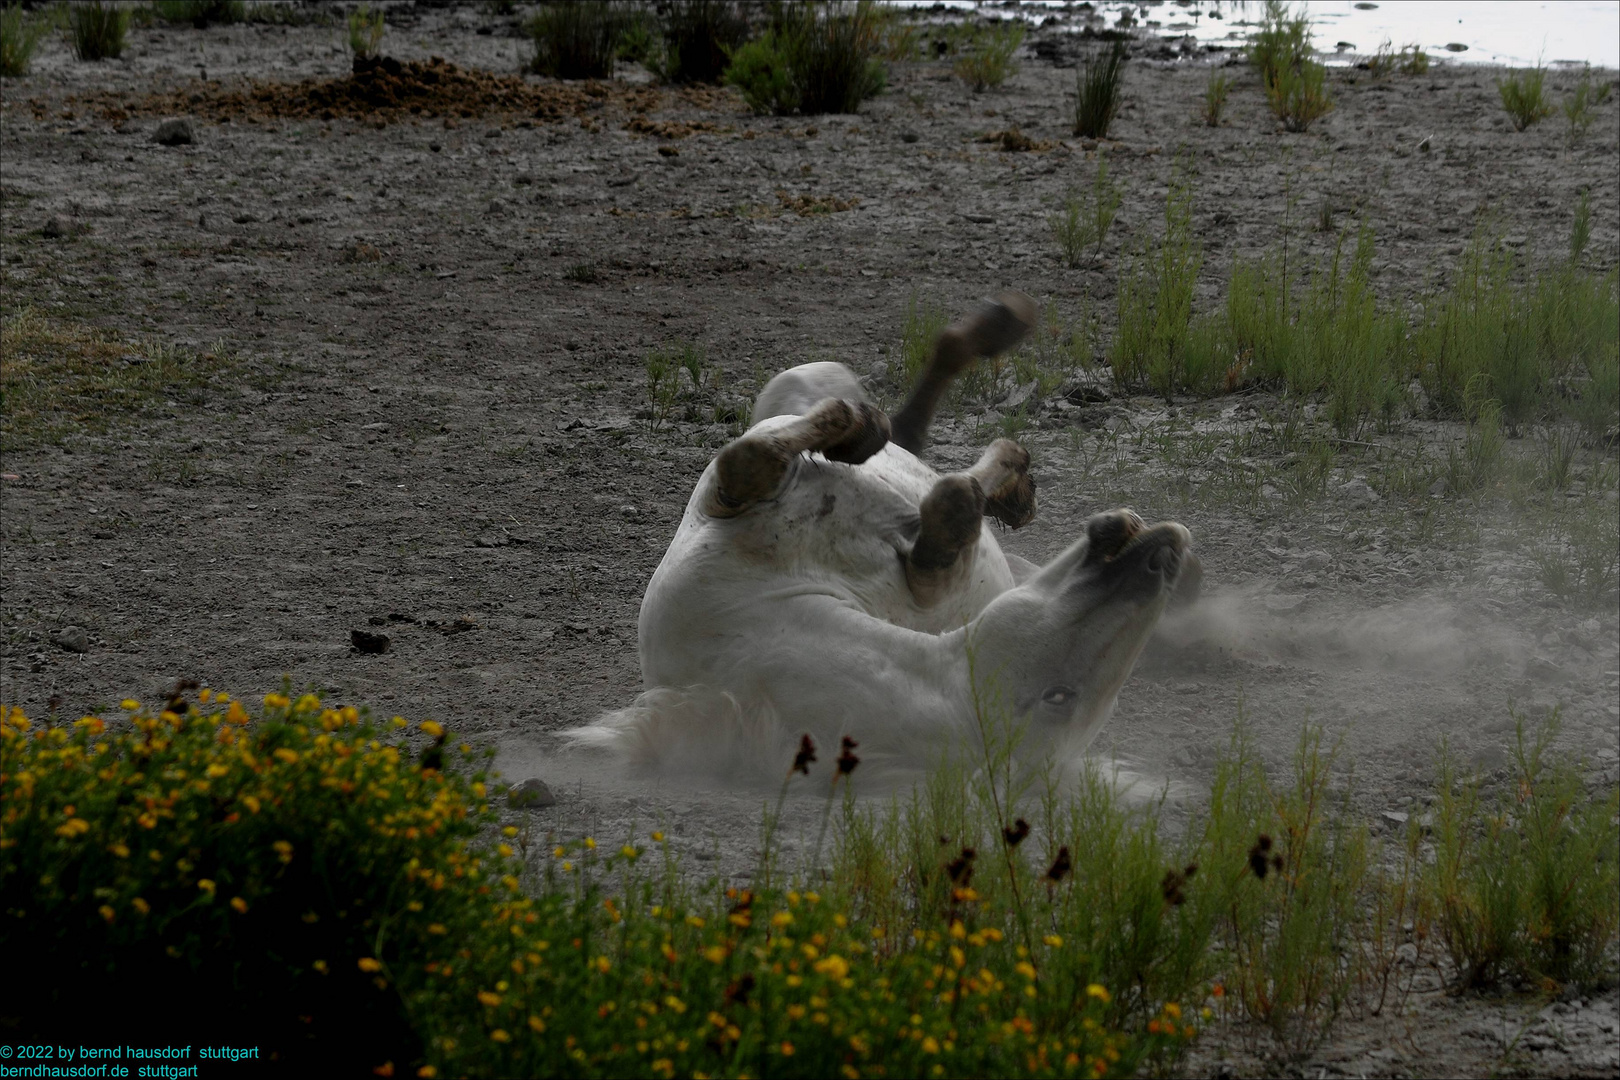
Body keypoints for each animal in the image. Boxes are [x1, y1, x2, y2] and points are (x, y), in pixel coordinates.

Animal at [576, 296, 1198, 780]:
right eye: (1060, 698)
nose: (1163, 555)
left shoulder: (931, 589)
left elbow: (947, 508)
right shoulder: (722, 500)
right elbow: (752, 459)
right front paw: (862, 436)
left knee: (923, 434)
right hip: (797, 384)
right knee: (904, 424)